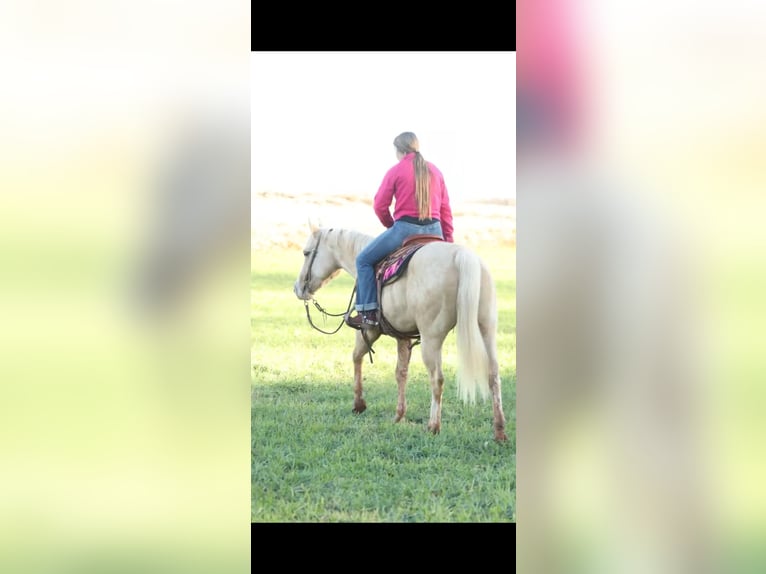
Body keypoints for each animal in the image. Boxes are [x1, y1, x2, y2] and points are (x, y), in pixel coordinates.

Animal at [293, 222, 508, 442]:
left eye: (306, 253)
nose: (298, 288)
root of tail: (462, 256)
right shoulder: (403, 337)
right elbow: (401, 373)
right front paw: (399, 415)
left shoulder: (368, 331)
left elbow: (356, 357)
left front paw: (359, 404)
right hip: (487, 329)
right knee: (493, 375)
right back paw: (499, 431)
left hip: (431, 337)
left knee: (437, 379)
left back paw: (433, 426)